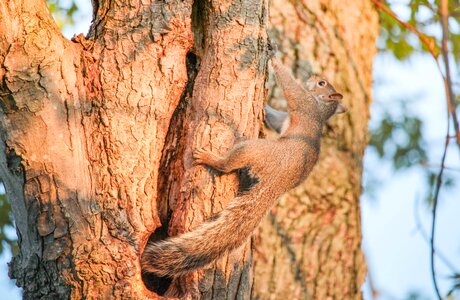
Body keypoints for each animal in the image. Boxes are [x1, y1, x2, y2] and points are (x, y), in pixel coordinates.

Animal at [142, 55, 346, 276]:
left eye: (321, 83)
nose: (313, 76)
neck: (320, 108)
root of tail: (277, 185)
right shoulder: (288, 116)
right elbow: (276, 118)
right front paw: (265, 107)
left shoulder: (304, 103)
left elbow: (290, 86)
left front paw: (274, 58)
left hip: (253, 149)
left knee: (227, 165)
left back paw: (210, 158)